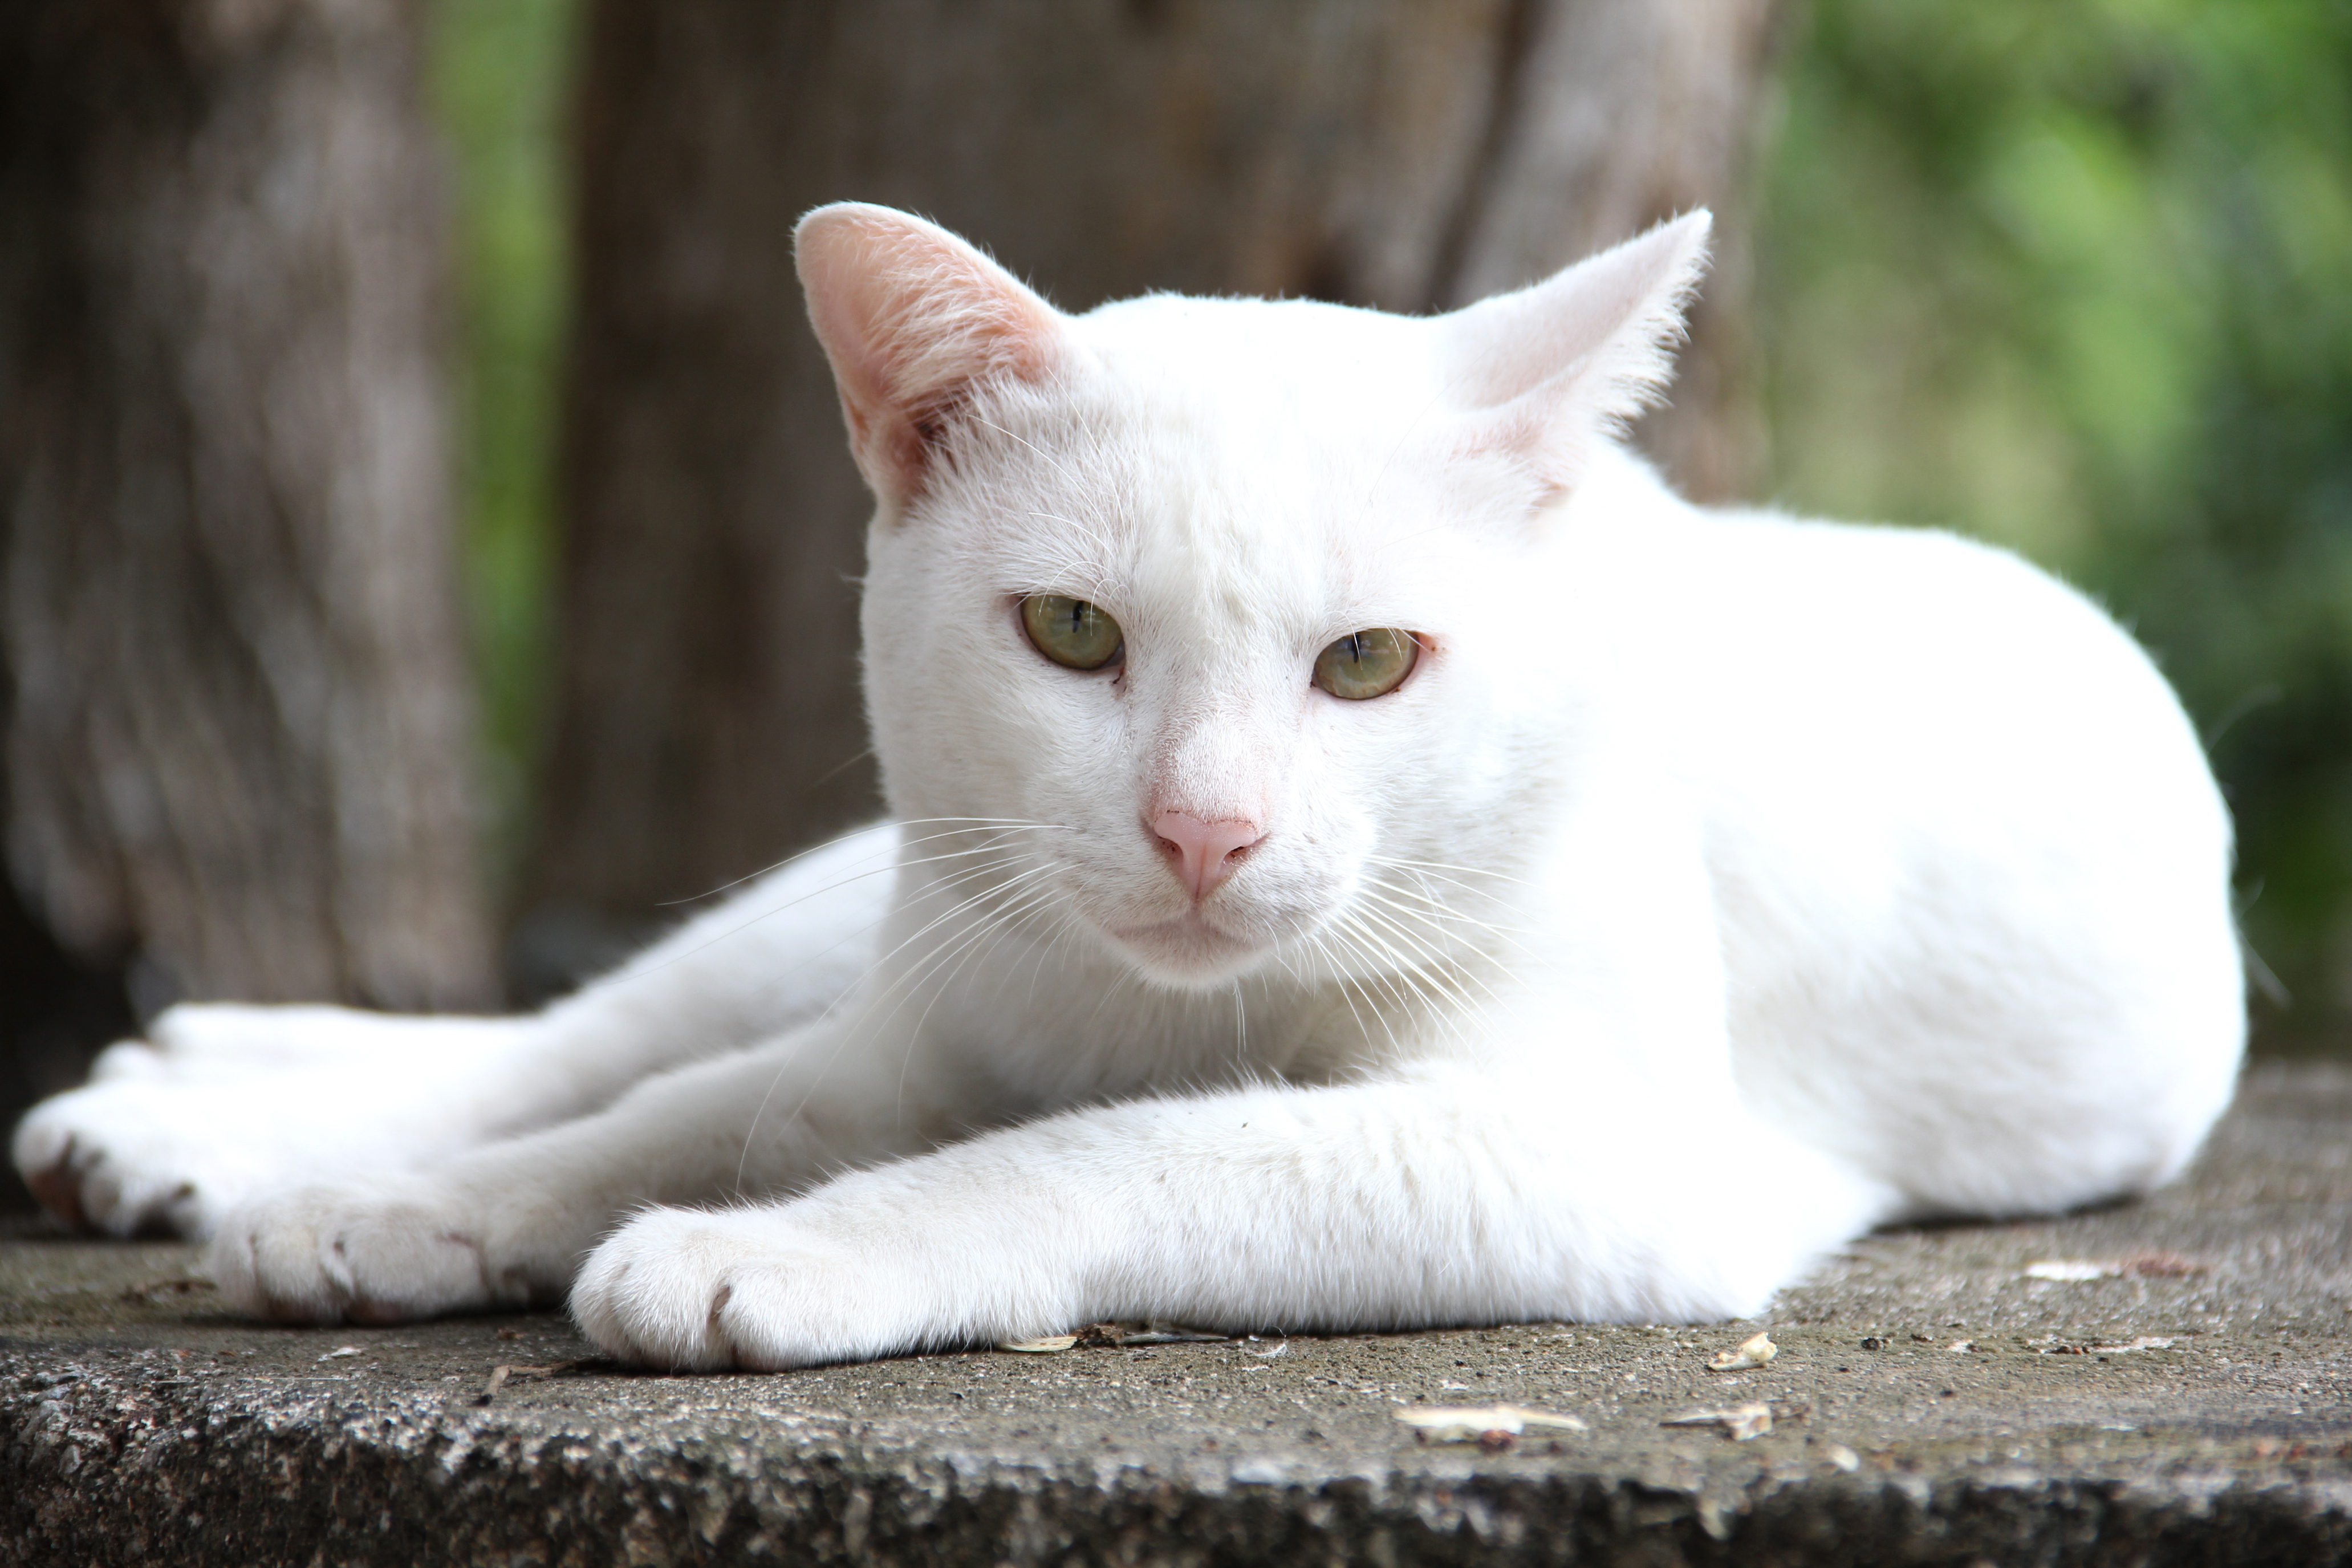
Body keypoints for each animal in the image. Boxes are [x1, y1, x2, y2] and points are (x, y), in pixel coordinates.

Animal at [9, 205, 2239, 1372]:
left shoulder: (1596, 1152)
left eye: (1369, 665)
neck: (1146, 1008)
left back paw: (188, 1113)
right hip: (878, 897)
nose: (1202, 831)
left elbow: (1117, 1155)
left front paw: (774, 1254)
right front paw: (420, 1212)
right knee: (600, 1028)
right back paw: (217, 1111)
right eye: (1073, 634)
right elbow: (676, 1111)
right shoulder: (910, 1029)